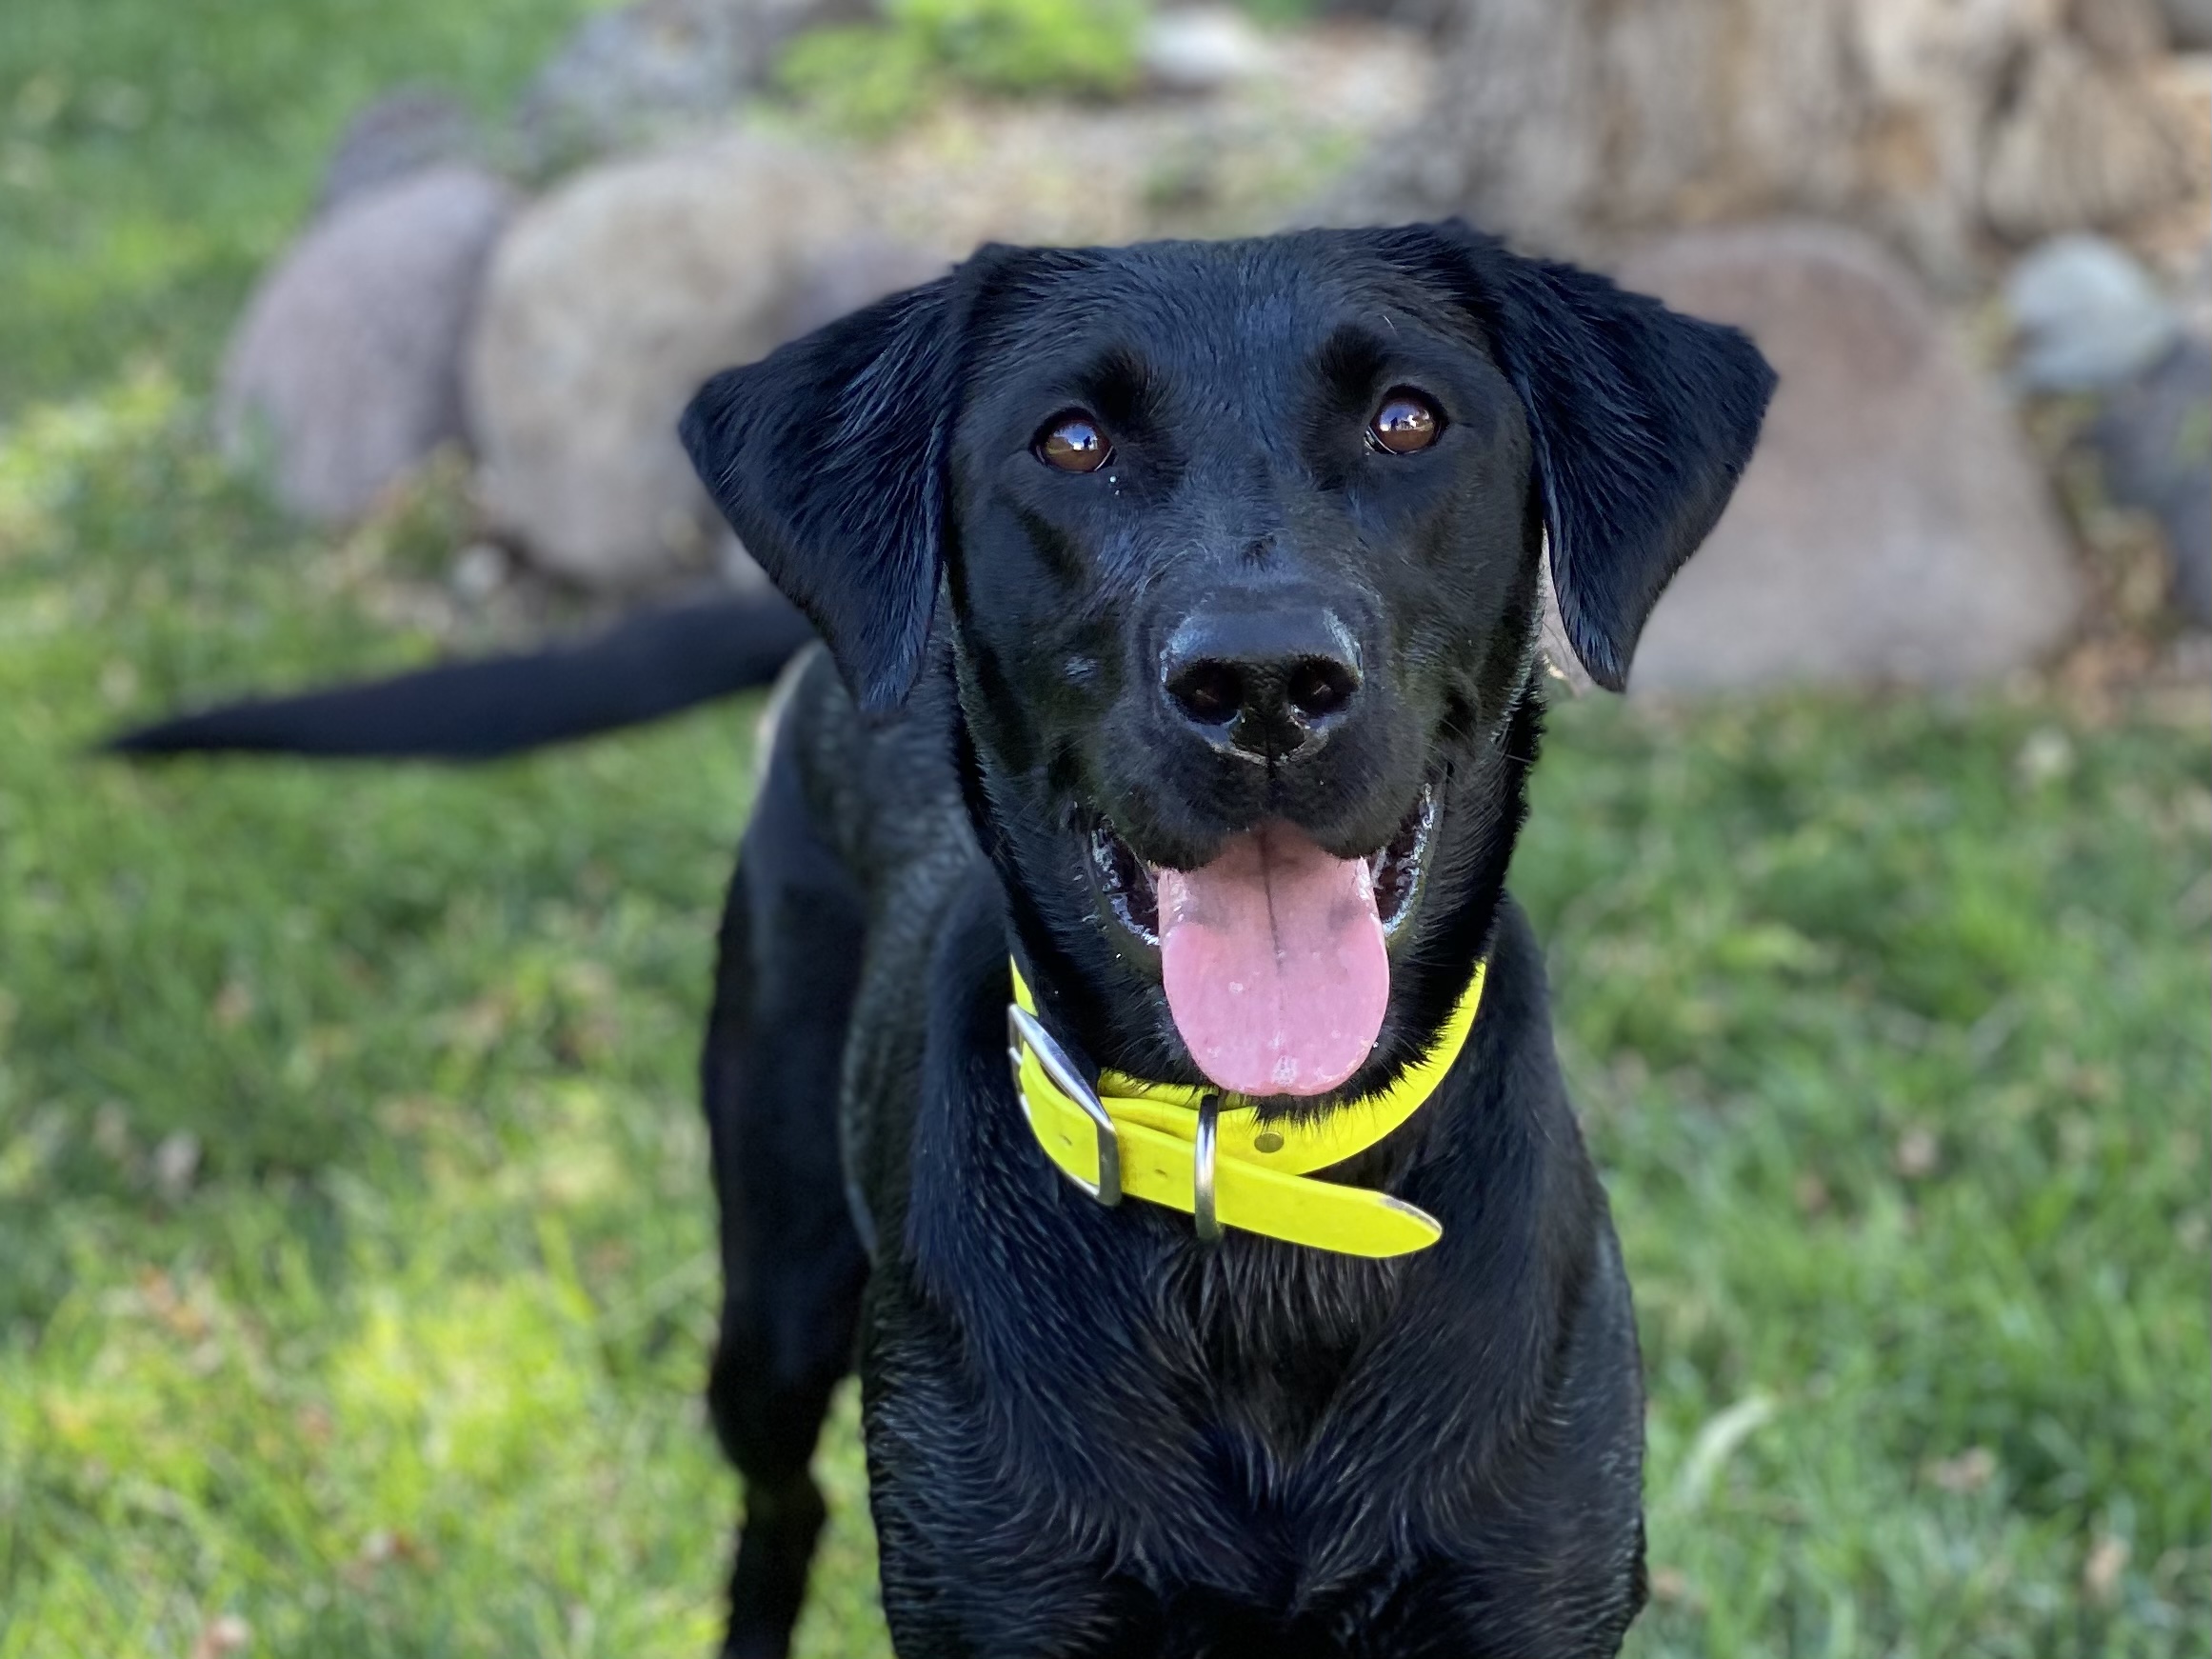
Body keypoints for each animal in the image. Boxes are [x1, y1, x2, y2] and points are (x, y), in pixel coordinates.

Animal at [672, 224, 1761, 1659]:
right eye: (1071, 441)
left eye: (1406, 419)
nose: (1261, 683)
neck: (1260, 1182)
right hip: (776, 1289)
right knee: (779, 1501)